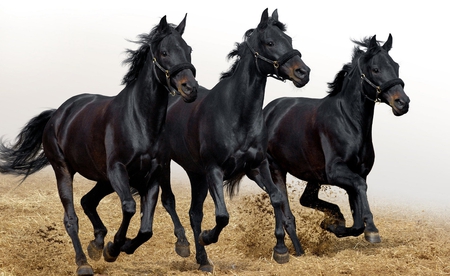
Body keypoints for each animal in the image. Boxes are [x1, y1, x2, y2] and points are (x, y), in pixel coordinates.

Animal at [0, 15, 197, 276]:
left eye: (189, 50)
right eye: (164, 52)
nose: (190, 89)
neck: (140, 121)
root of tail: (58, 114)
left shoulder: (153, 174)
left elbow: (146, 228)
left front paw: (120, 246)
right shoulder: (117, 170)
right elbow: (129, 207)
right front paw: (114, 248)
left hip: (103, 179)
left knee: (88, 201)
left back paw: (96, 244)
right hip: (65, 170)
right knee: (71, 218)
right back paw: (83, 262)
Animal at [158, 8, 310, 272]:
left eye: (289, 40)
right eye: (270, 42)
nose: (303, 72)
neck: (236, 115)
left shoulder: (258, 166)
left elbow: (277, 198)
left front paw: (281, 250)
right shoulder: (214, 171)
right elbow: (222, 215)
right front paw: (207, 237)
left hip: (196, 174)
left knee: (194, 213)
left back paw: (203, 261)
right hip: (167, 163)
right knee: (170, 201)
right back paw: (184, 245)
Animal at [262, 34, 410, 244]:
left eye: (396, 66)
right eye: (376, 69)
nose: (403, 103)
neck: (349, 122)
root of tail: (268, 110)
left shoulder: (356, 173)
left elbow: (357, 222)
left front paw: (333, 225)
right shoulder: (336, 172)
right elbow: (360, 188)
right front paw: (372, 230)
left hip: (313, 175)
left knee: (306, 199)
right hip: (276, 168)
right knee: (285, 206)